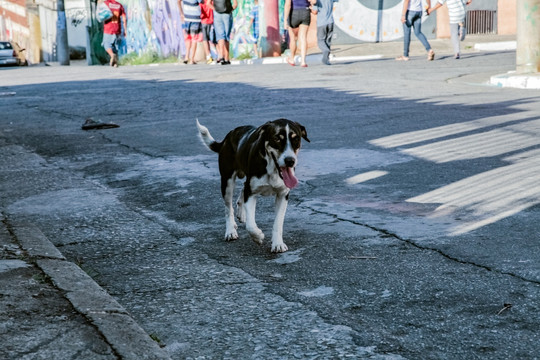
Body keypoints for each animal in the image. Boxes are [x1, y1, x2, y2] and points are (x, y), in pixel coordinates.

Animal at [197, 119, 308, 253]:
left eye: (296, 139)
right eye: (277, 138)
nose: (290, 161)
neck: (272, 169)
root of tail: (229, 135)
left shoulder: (283, 194)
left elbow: (278, 222)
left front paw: (278, 244)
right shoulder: (251, 193)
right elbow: (250, 225)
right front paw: (258, 236)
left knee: (243, 189)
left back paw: (241, 213)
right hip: (227, 182)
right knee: (228, 207)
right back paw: (230, 230)